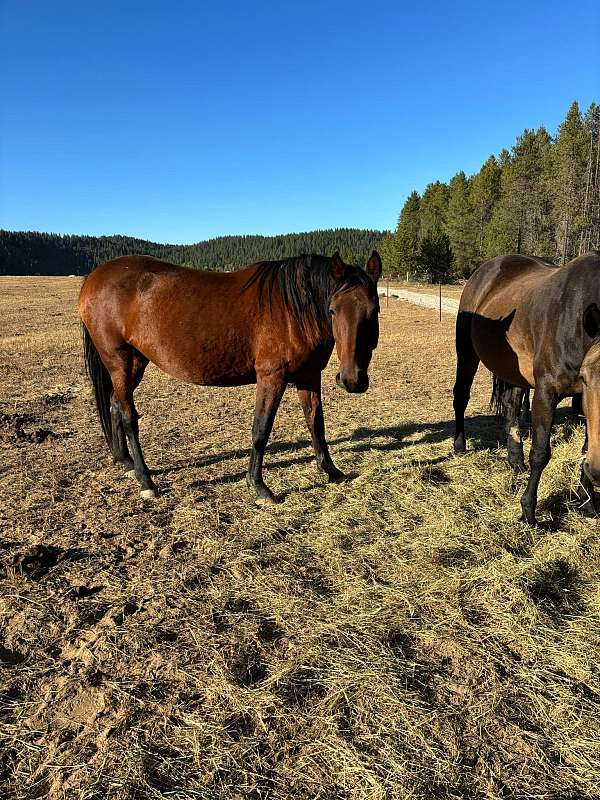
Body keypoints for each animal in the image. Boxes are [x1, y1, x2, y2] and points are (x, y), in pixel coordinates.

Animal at [78, 247, 380, 504]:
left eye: (374, 310)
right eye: (332, 310)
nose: (353, 380)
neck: (294, 310)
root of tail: (94, 278)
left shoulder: (309, 375)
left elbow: (316, 423)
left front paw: (330, 470)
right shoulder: (272, 377)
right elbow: (261, 430)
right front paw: (258, 486)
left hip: (135, 363)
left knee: (115, 405)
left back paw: (125, 462)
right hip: (120, 361)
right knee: (128, 416)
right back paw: (146, 481)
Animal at [452, 252, 600, 524]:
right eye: (585, 376)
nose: (598, 471)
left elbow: (586, 448)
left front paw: (587, 504)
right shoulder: (546, 393)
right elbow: (540, 453)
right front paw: (528, 511)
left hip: (514, 373)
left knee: (511, 408)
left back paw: (514, 460)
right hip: (467, 353)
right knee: (461, 397)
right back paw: (459, 446)